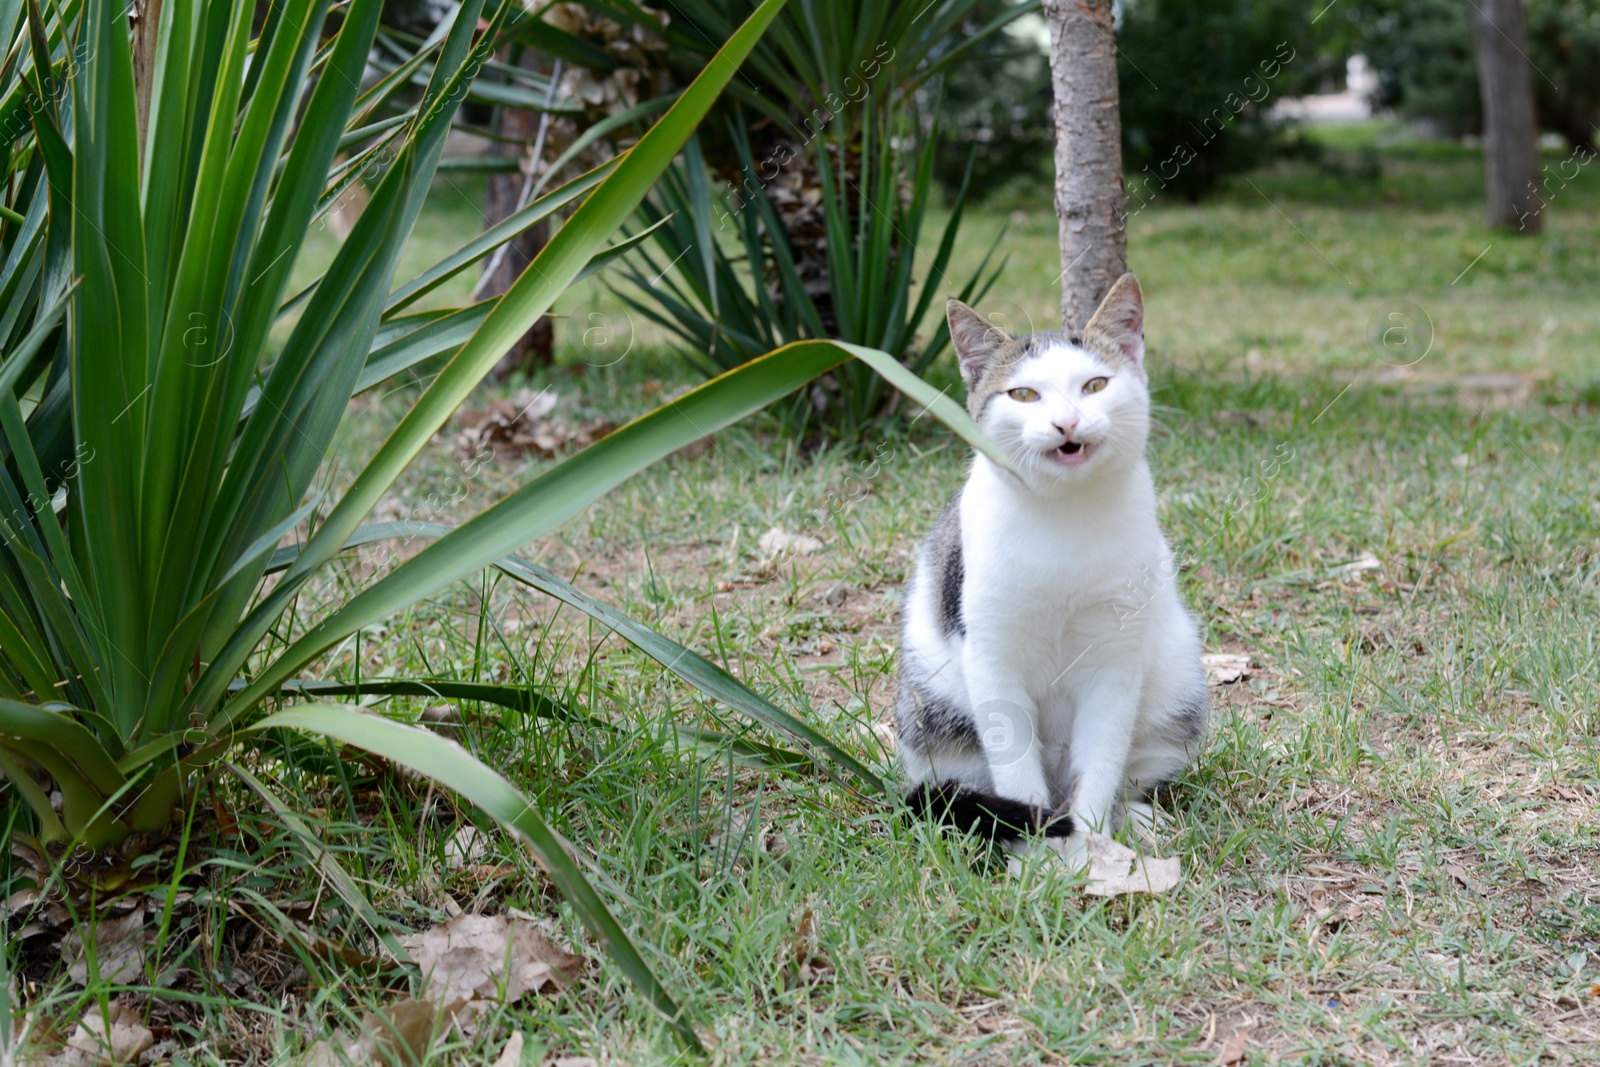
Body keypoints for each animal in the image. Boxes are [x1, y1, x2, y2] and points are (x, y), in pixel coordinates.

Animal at [896, 273, 1203, 870]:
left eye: (1095, 385)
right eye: (1023, 395)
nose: (1067, 422)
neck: (1065, 519)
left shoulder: (1115, 659)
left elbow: (1100, 766)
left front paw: (1089, 847)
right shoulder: (992, 659)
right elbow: (1017, 775)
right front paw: (1033, 859)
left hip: (1177, 683)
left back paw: (1135, 819)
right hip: (934, 710)